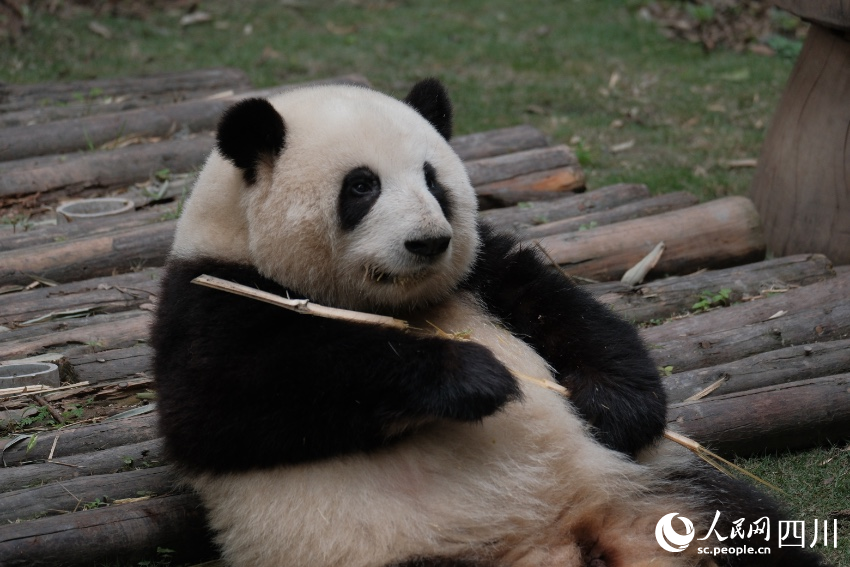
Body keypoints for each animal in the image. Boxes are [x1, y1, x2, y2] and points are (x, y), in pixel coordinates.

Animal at [149, 80, 824, 567]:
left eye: (433, 179)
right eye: (361, 187)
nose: (427, 242)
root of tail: (556, 539)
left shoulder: (481, 274)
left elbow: (563, 308)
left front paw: (614, 406)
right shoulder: (210, 296)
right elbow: (229, 400)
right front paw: (473, 377)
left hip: (655, 498)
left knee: (742, 525)